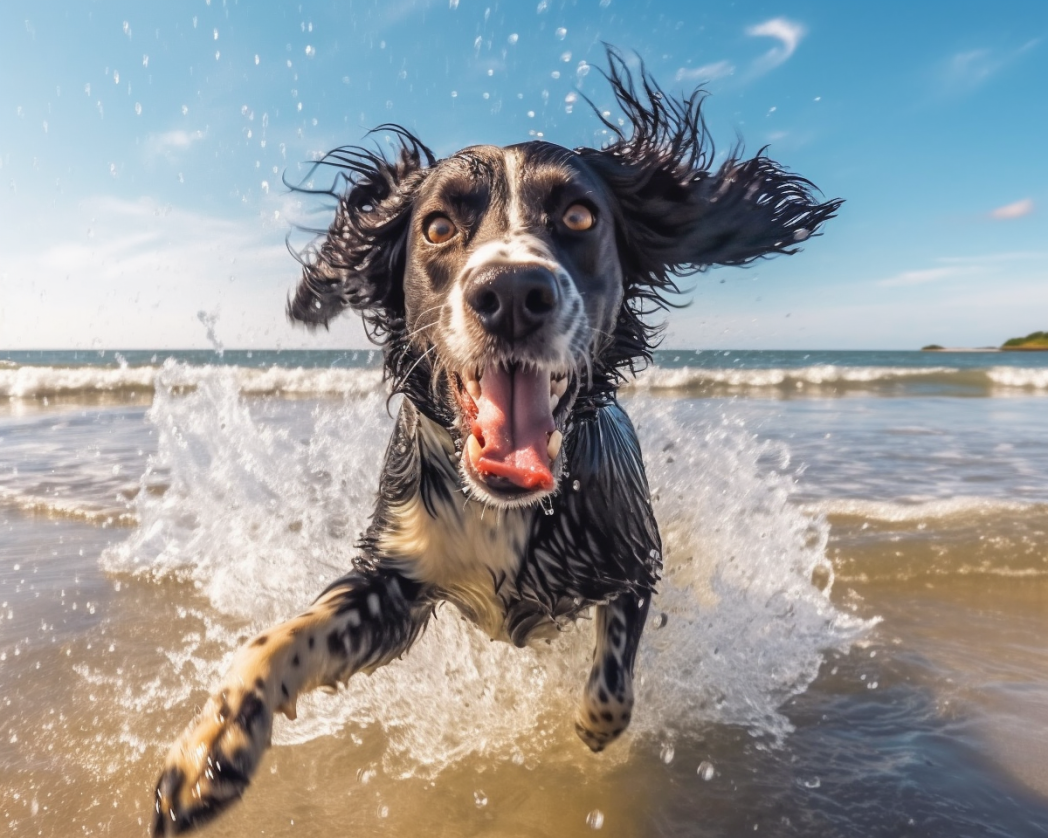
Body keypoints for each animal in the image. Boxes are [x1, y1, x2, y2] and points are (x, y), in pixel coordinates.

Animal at [151, 50, 842, 829]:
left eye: (579, 215)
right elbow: (275, 644)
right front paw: (212, 752)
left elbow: (611, 687)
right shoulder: (394, 581)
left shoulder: (635, 561)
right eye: (437, 227)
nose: (512, 292)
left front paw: (591, 729)